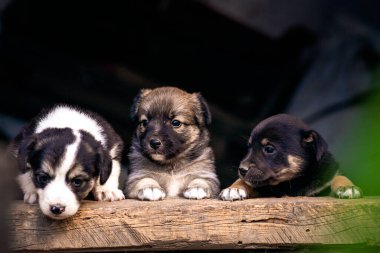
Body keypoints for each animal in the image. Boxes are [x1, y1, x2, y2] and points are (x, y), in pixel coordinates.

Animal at [218, 113, 360, 201]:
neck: (291, 182)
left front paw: (348, 187)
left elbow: (340, 177)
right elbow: (244, 181)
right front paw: (233, 188)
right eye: (249, 147)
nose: (241, 170)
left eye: (269, 149)